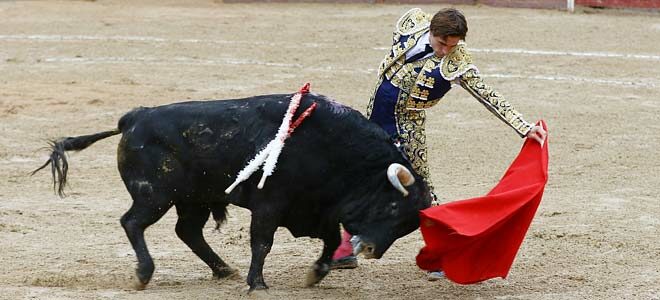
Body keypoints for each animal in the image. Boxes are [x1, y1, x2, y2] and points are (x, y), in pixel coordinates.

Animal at [33, 93, 434, 290]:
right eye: (392, 209)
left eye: (406, 225)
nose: (371, 250)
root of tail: (134, 117)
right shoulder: (271, 205)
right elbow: (262, 242)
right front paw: (258, 283)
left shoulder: (315, 210)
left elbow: (329, 239)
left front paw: (316, 273)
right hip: (155, 196)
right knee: (133, 223)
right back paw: (144, 274)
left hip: (192, 200)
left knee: (187, 231)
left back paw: (222, 268)